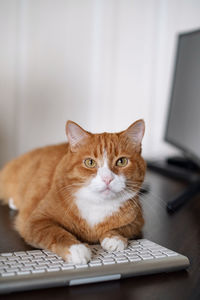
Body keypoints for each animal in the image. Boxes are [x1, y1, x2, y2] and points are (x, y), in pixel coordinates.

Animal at [0, 120, 145, 264]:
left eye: (122, 161)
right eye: (90, 162)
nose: (107, 179)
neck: (97, 203)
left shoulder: (137, 221)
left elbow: (122, 228)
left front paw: (114, 238)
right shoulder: (36, 221)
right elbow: (56, 233)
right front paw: (76, 248)